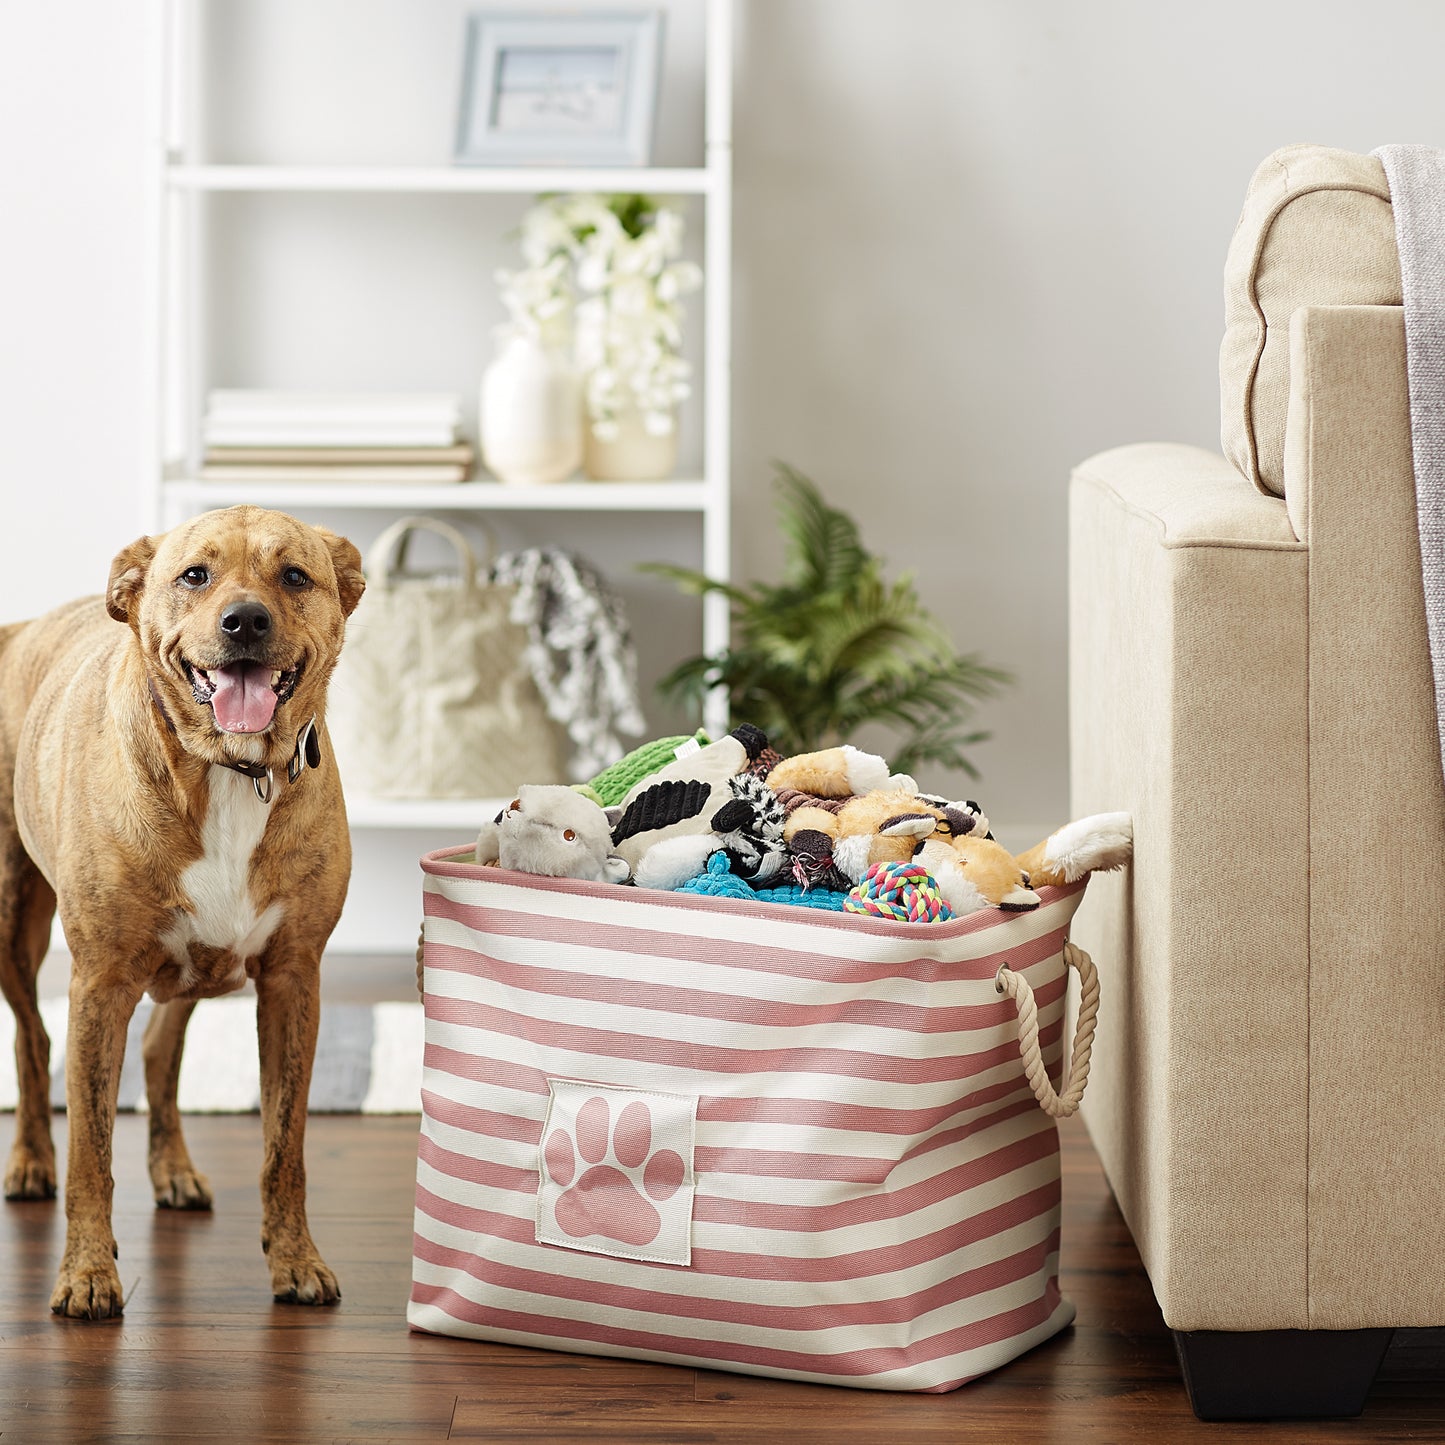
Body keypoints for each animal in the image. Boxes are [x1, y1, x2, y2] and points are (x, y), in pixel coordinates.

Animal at [1, 508, 361, 1323]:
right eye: (195, 575)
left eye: (295, 575)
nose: (245, 619)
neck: (225, 772)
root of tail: (21, 627)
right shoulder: (100, 983)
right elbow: (92, 1151)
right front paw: (87, 1274)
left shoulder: (293, 979)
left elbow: (284, 1145)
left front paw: (296, 1259)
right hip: (12, 919)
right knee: (34, 1040)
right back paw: (31, 1161)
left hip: (198, 966)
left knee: (161, 1051)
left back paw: (171, 1168)